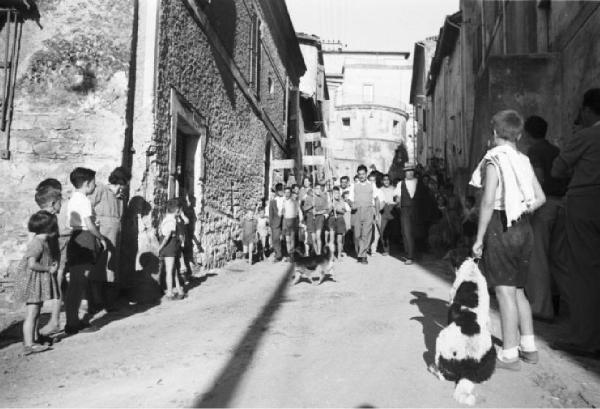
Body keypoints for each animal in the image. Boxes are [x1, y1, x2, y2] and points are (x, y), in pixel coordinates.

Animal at [432, 256, 496, 404]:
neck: (472, 271)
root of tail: (469, 365)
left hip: (440, 341)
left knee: (442, 374)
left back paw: (433, 369)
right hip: (492, 353)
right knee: (483, 377)